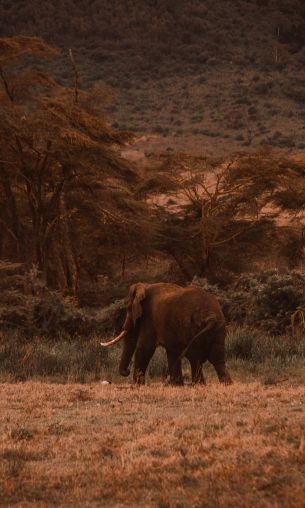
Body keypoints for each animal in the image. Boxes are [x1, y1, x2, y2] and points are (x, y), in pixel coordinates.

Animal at [100, 282, 230, 384]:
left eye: (128, 308)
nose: (126, 371)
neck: (145, 286)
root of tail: (211, 316)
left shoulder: (150, 319)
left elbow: (145, 348)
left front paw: (138, 385)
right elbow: (172, 352)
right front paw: (177, 385)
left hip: (194, 327)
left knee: (195, 357)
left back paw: (198, 385)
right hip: (218, 329)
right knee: (217, 359)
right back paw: (224, 384)